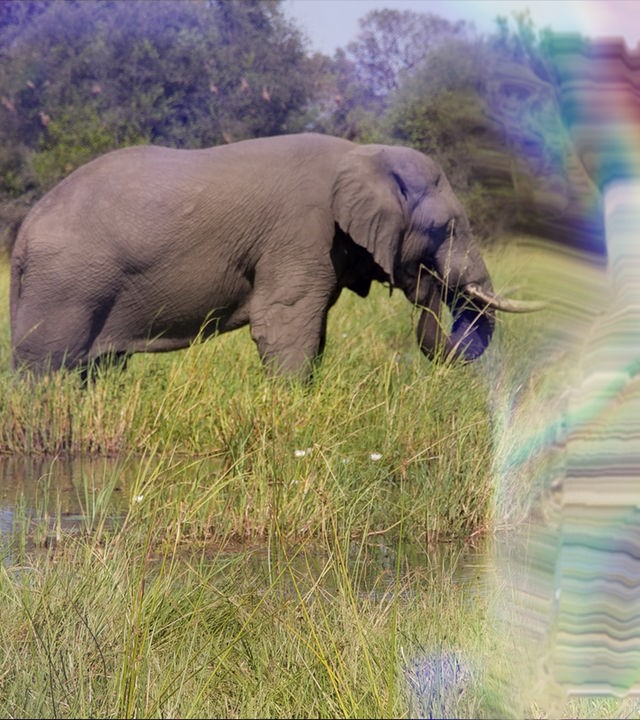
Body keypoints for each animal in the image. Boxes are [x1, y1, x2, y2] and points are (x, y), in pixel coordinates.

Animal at [10, 133, 541, 380]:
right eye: (448, 228)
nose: (429, 280)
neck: (364, 154)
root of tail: (22, 238)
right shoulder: (301, 232)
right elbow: (284, 324)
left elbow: (312, 327)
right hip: (66, 288)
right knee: (48, 373)